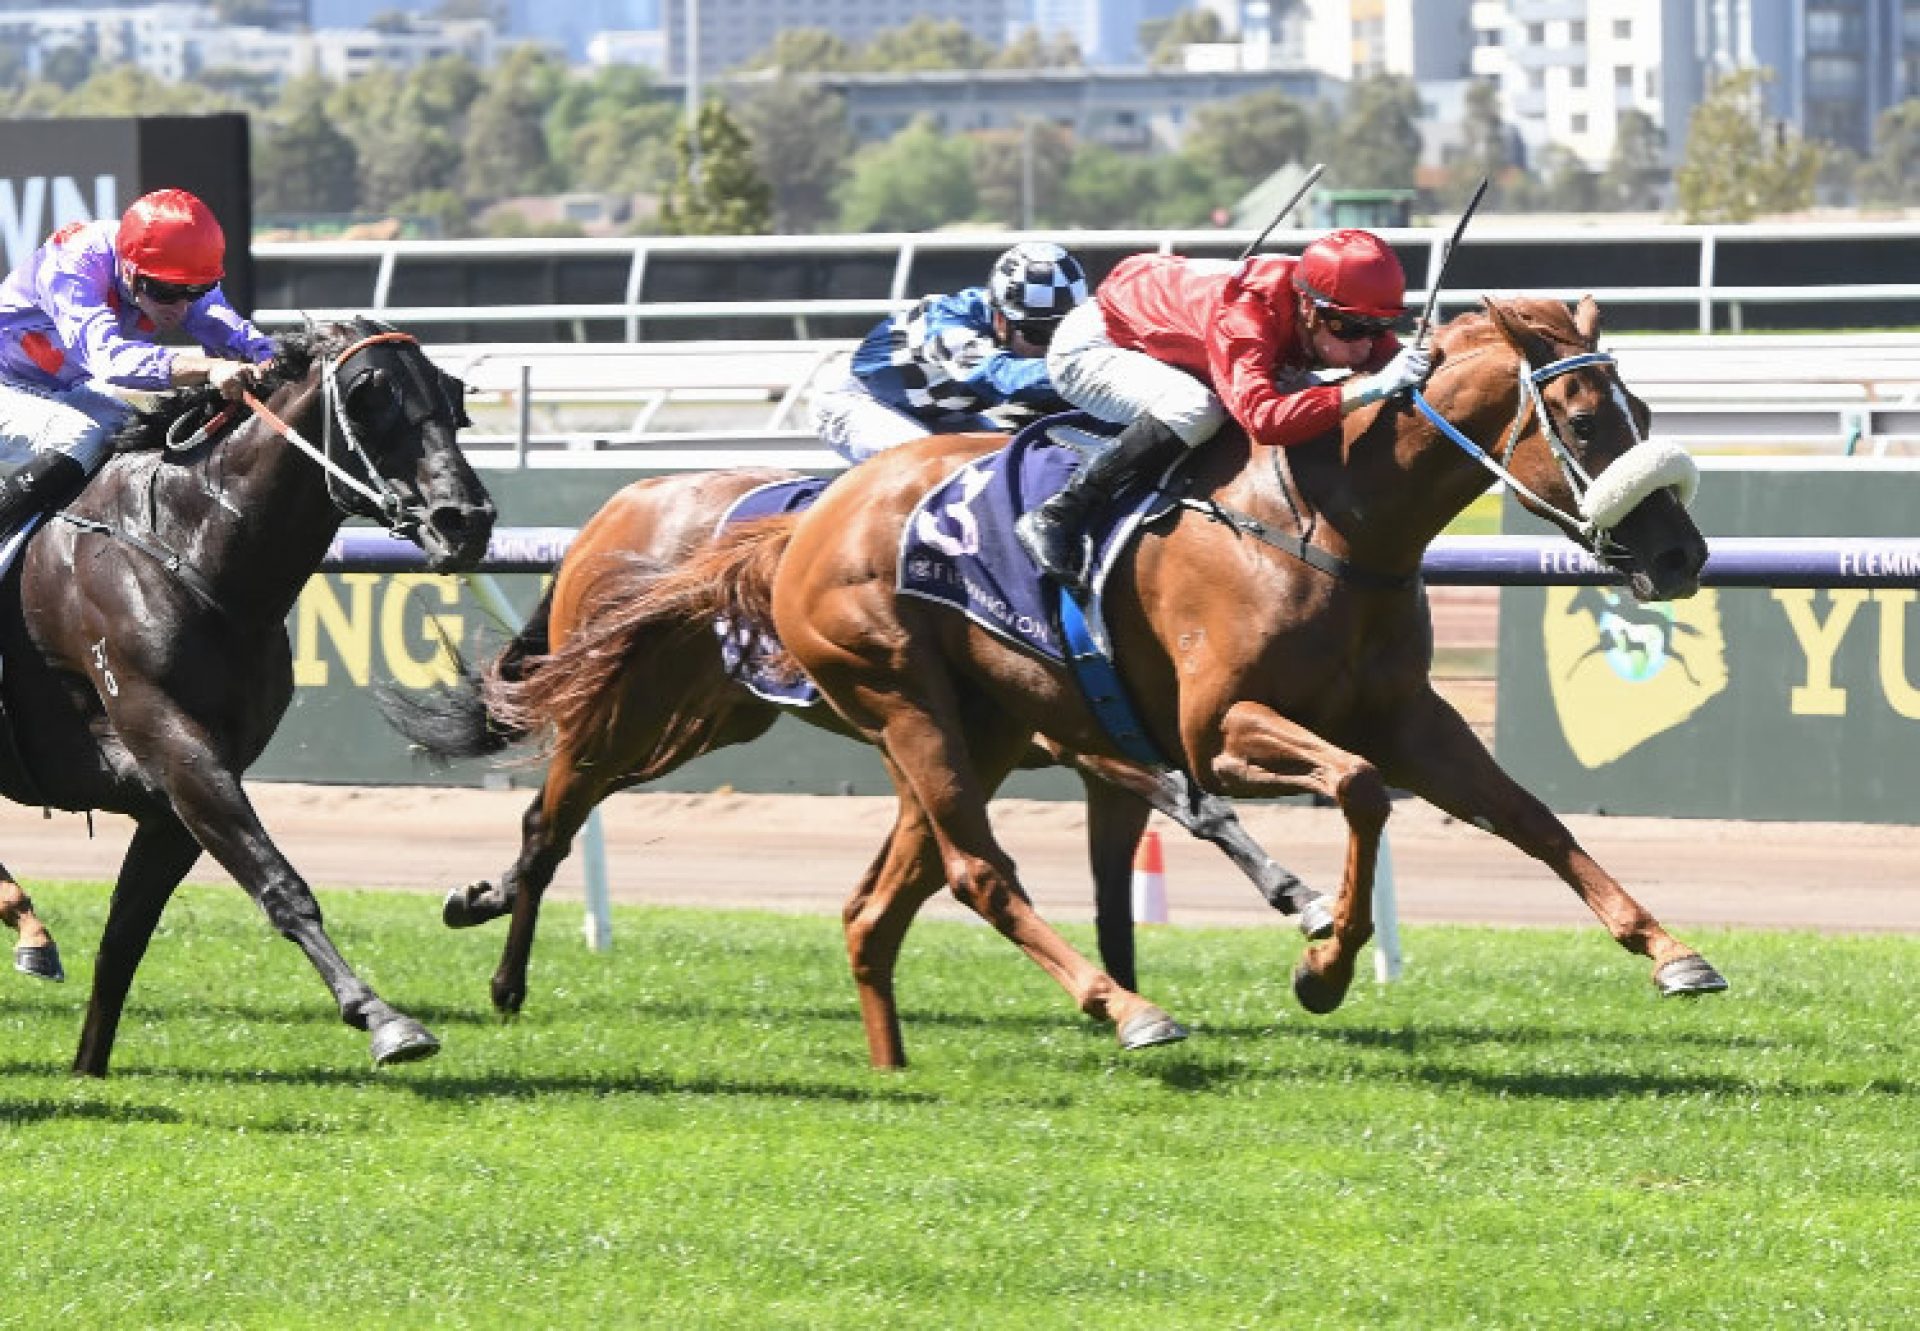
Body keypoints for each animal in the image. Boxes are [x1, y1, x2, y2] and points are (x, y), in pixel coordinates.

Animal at [1, 316, 495, 1075]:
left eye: (453, 394)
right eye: (368, 396)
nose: (464, 520)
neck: (185, 546)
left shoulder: (177, 790)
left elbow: (125, 934)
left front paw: (88, 1067)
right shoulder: (175, 747)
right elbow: (281, 885)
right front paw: (385, 1019)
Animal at [378, 462, 1336, 1014]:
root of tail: (617, 505)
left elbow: (1132, 872)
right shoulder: (1077, 737)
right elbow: (1198, 804)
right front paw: (1302, 899)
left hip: (699, 720)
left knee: (561, 817)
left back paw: (481, 896)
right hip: (625, 707)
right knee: (550, 822)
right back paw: (505, 977)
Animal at [480, 295, 1728, 1067]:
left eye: (1646, 413)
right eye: (1582, 419)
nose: (1679, 555)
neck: (1326, 515)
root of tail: (802, 527)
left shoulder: (1406, 716)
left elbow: (1525, 815)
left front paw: (1672, 950)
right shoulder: (1210, 726)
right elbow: (1353, 792)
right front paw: (1322, 955)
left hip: (954, 729)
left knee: (882, 901)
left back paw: (898, 1058)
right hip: (793, 706)